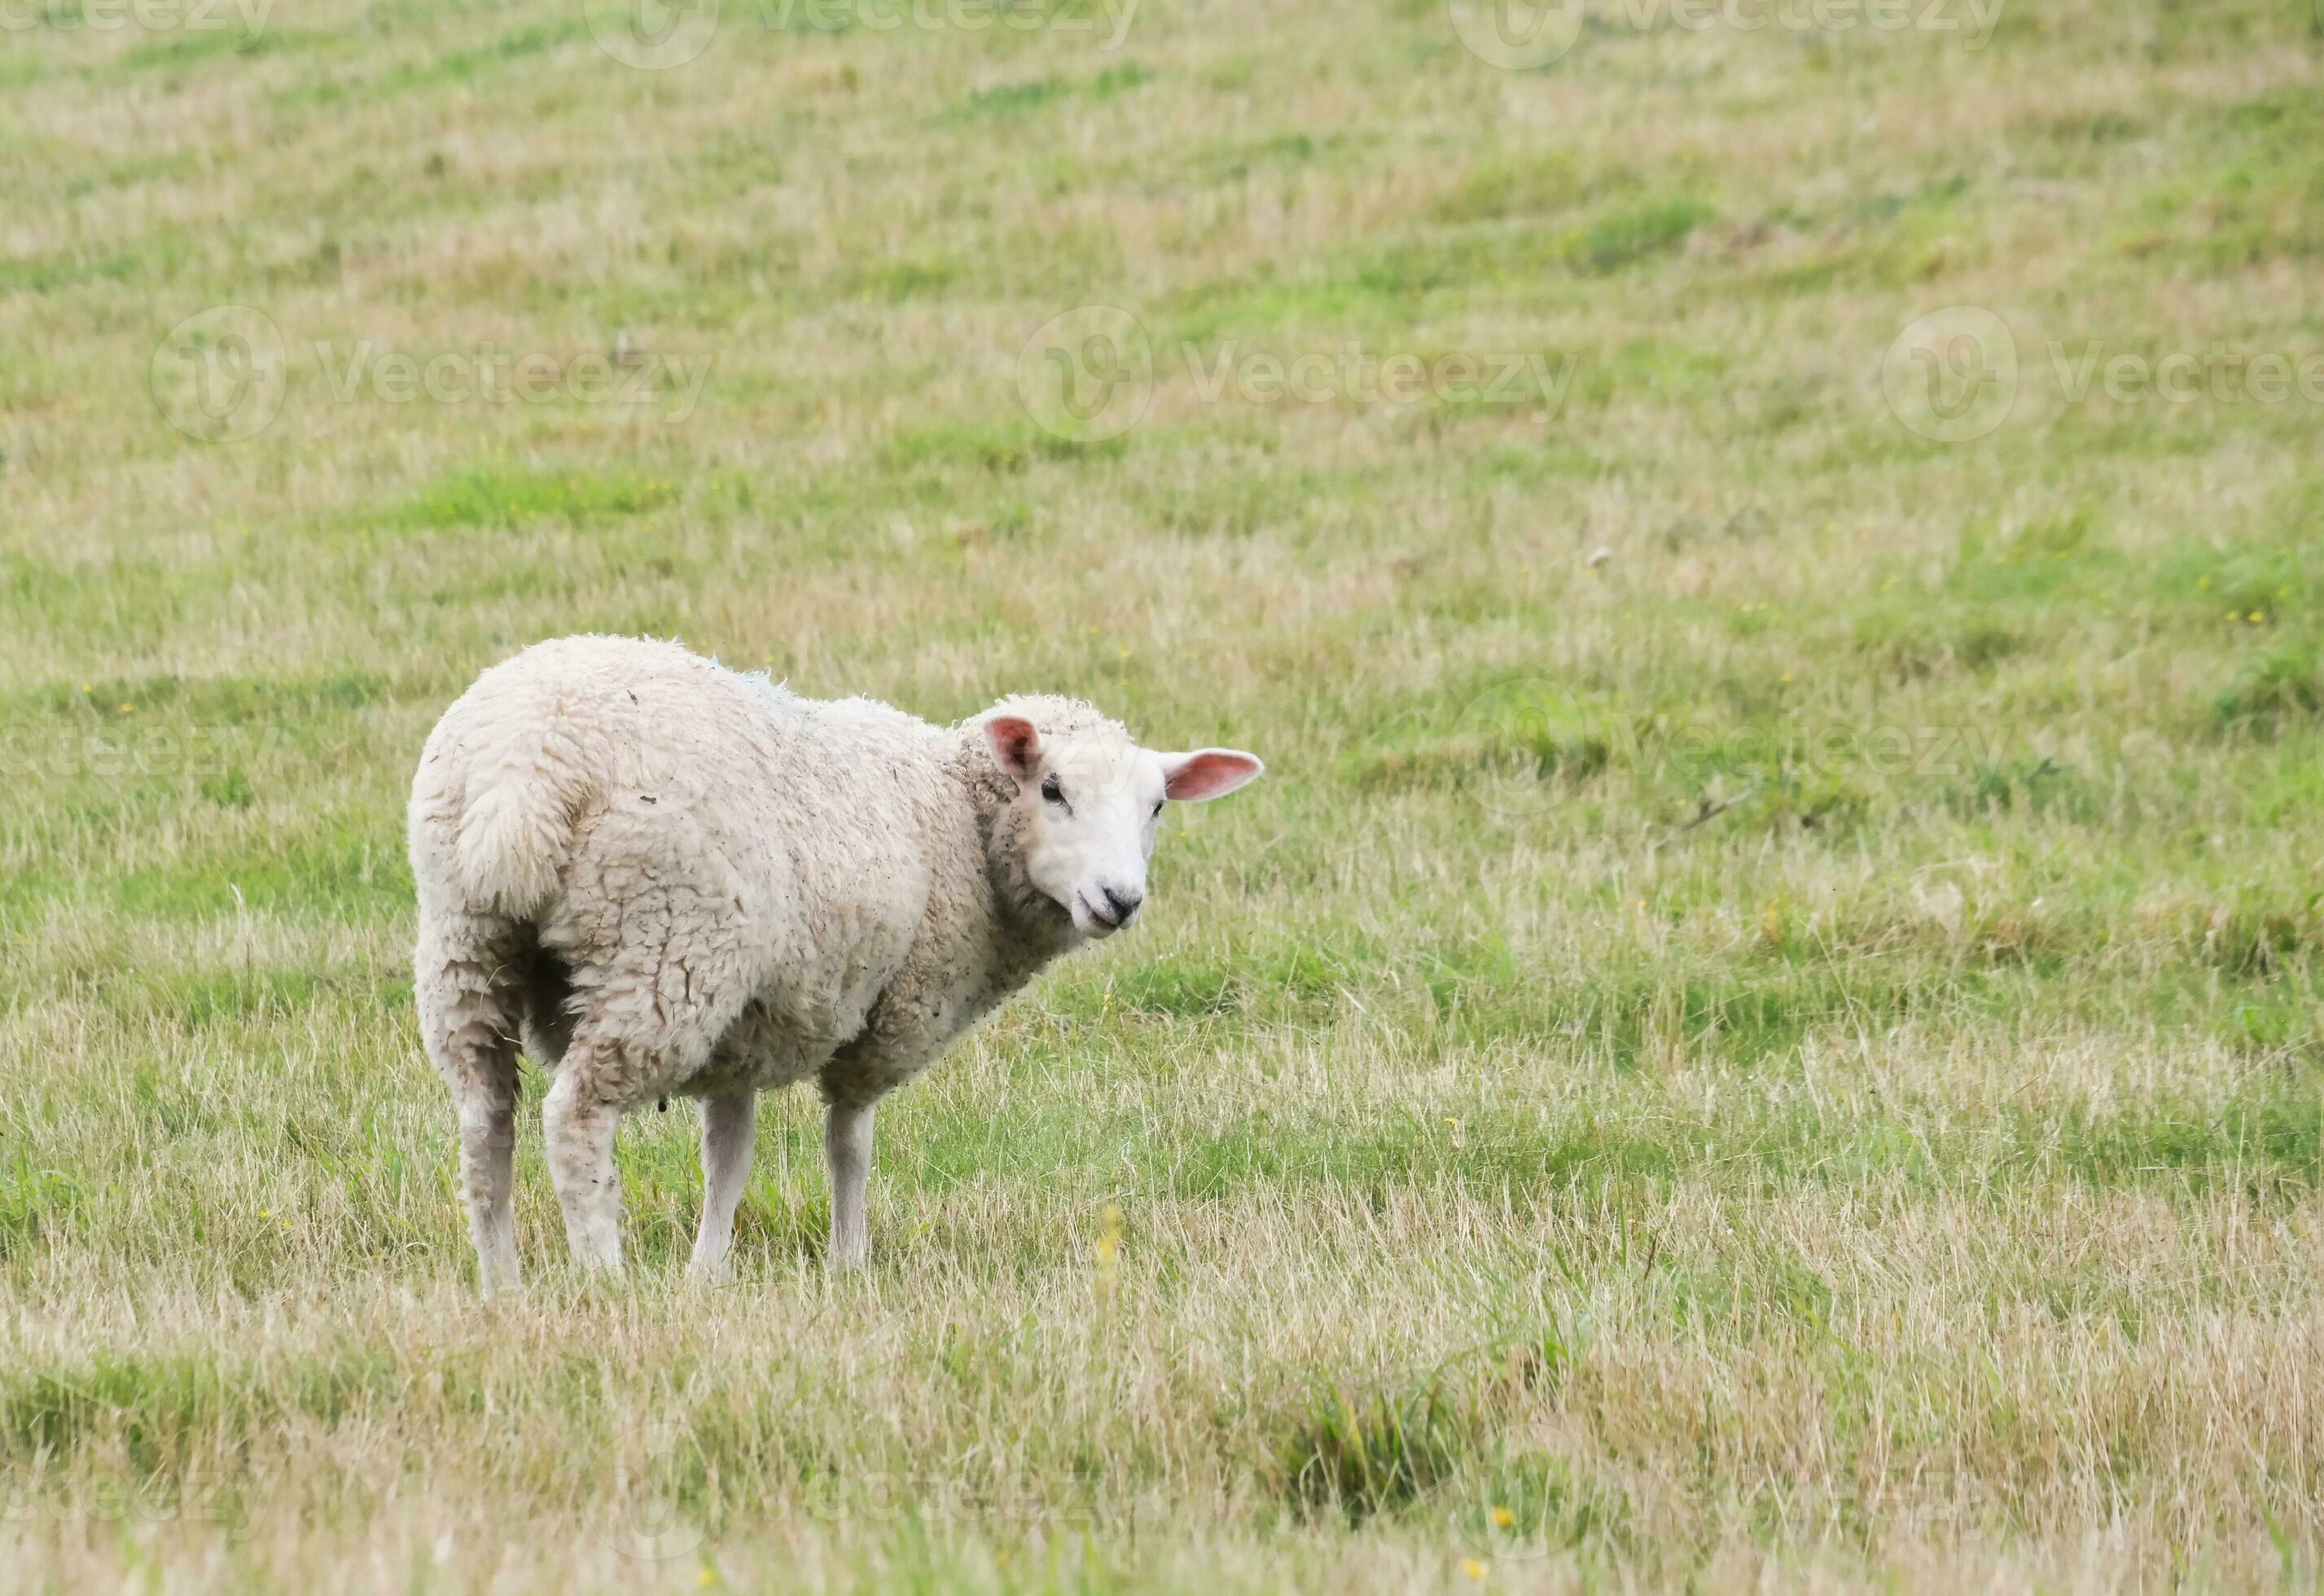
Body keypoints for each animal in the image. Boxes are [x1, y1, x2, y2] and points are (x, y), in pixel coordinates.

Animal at [408, 634, 1264, 1293]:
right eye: (1052, 789)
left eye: (1157, 807)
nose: (1121, 899)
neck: (954, 815)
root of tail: (523, 775)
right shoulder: (890, 1016)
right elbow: (850, 1143)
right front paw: (849, 1263)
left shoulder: (743, 1029)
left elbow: (728, 1153)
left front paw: (707, 1273)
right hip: (662, 952)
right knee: (576, 1120)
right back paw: (603, 1278)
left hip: (468, 947)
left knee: (485, 1124)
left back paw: (503, 1283)